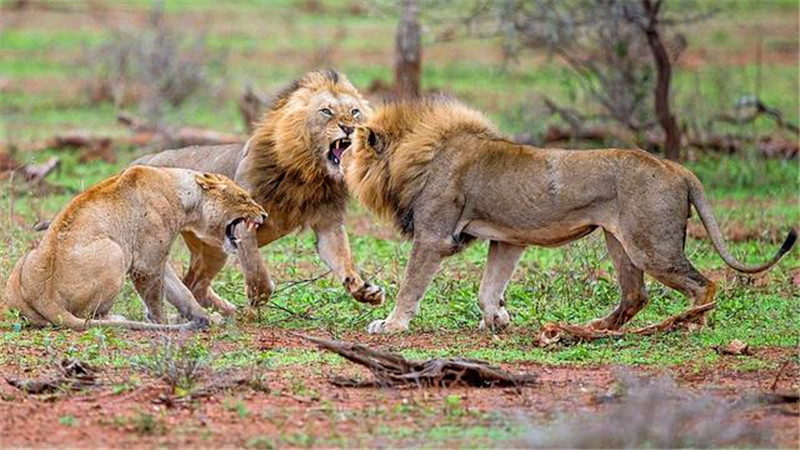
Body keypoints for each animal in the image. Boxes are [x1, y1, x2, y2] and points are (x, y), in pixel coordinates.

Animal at [4, 165, 268, 330]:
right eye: (244, 198)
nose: (264, 215)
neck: (185, 198)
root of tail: (44, 298)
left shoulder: (159, 260)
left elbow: (183, 293)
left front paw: (207, 318)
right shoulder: (146, 265)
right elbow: (156, 299)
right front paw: (164, 324)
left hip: (27, 259)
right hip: (114, 251)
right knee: (88, 316)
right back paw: (116, 317)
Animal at [134, 71, 384, 316]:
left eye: (354, 112)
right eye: (326, 111)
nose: (349, 128)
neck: (310, 174)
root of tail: (142, 160)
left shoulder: (328, 224)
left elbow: (343, 258)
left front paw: (364, 290)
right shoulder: (243, 221)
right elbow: (257, 268)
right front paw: (256, 300)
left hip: (214, 248)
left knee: (194, 284)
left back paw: (225, 312)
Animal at [340, 97, 796, 334]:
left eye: (350, 145)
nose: (338, 155)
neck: (418, 154)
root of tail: (678, 168)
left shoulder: (434, 236)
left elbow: (411, 286)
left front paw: (391, 325)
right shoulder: (508, 239)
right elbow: (489, 288)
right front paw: (498, 319)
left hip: (651, 246)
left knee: (704, 286)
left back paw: (688, 325)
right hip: (620, 241)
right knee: (636, 295)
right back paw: (596, 328)